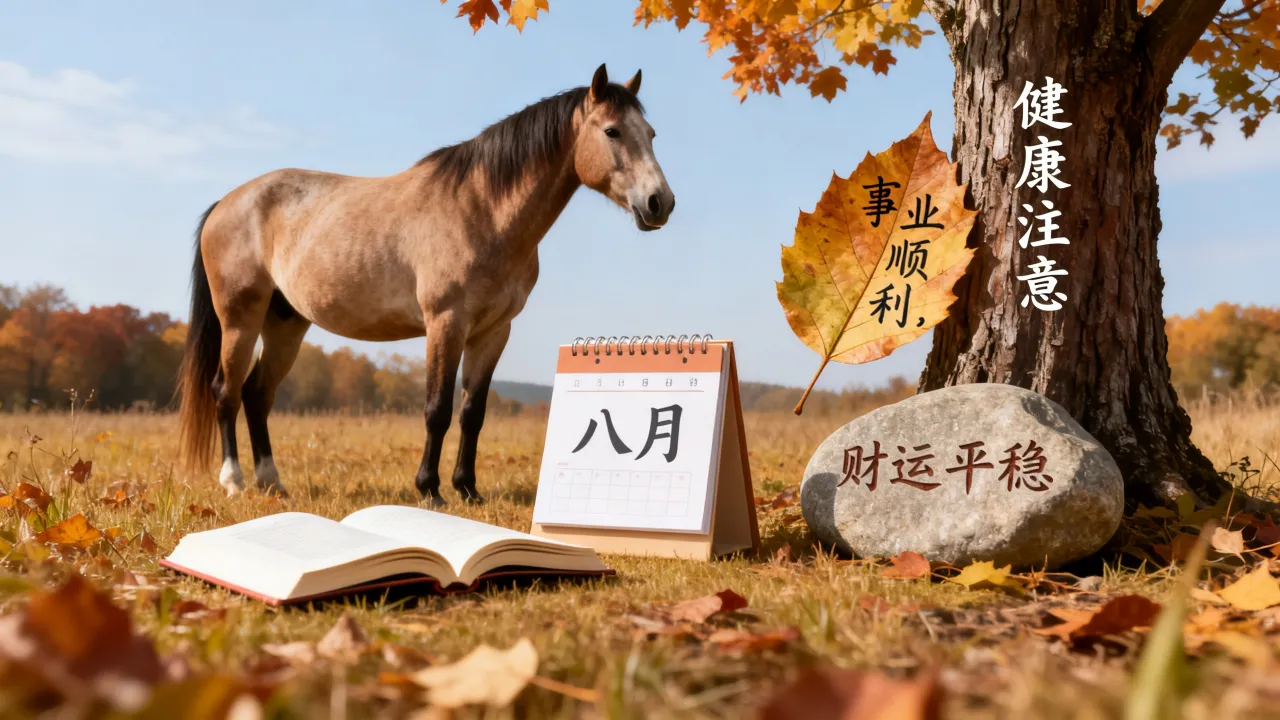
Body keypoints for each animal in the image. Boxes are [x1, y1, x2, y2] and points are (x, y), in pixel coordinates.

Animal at [176, 63, 675, 505]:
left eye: (651, 134)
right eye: (612, 131)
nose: (660, 203)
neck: (482, 209)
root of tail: (228, 202)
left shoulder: (493, 331)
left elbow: (473, 413)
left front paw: (468, 490)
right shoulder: (445, 322)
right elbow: (437, 410)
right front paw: (430, 490)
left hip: (286, 323)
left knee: (258, 394)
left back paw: (272, 483)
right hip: (240, 320)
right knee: (227, 392)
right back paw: (234, 482)